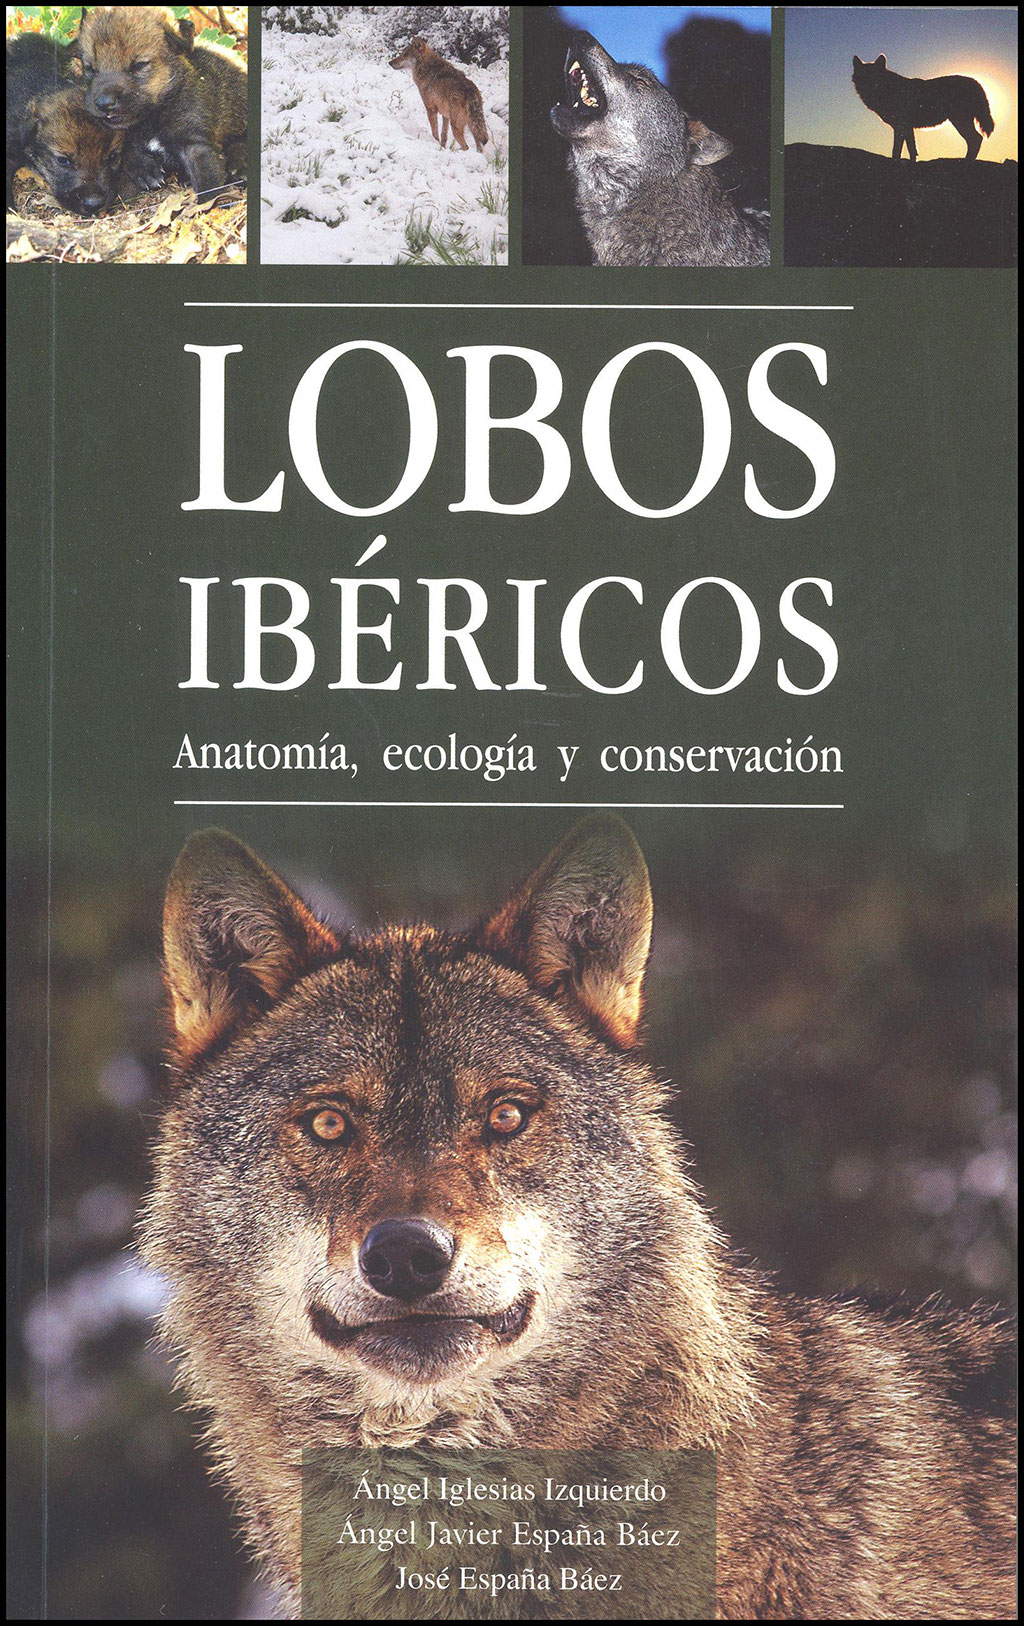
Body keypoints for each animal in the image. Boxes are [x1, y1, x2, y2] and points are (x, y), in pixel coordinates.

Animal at [74, 6, 247, 195]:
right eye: (90, 68)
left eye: (139, 65)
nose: (104, 103)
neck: (154, 116)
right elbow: (127, 148)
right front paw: (144, 169)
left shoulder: (195, 145)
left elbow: (208, 186)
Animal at [852, 54, 995, 161]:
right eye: (863, 77)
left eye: (875, 78)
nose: (867, 88)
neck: (889, 90)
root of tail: (976, 82)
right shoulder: (907, 128)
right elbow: (911, 150)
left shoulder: (900, 126)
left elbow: (896, 151)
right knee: (975, 140)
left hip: (959, 122)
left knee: (976, 139)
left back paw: (966, 162)